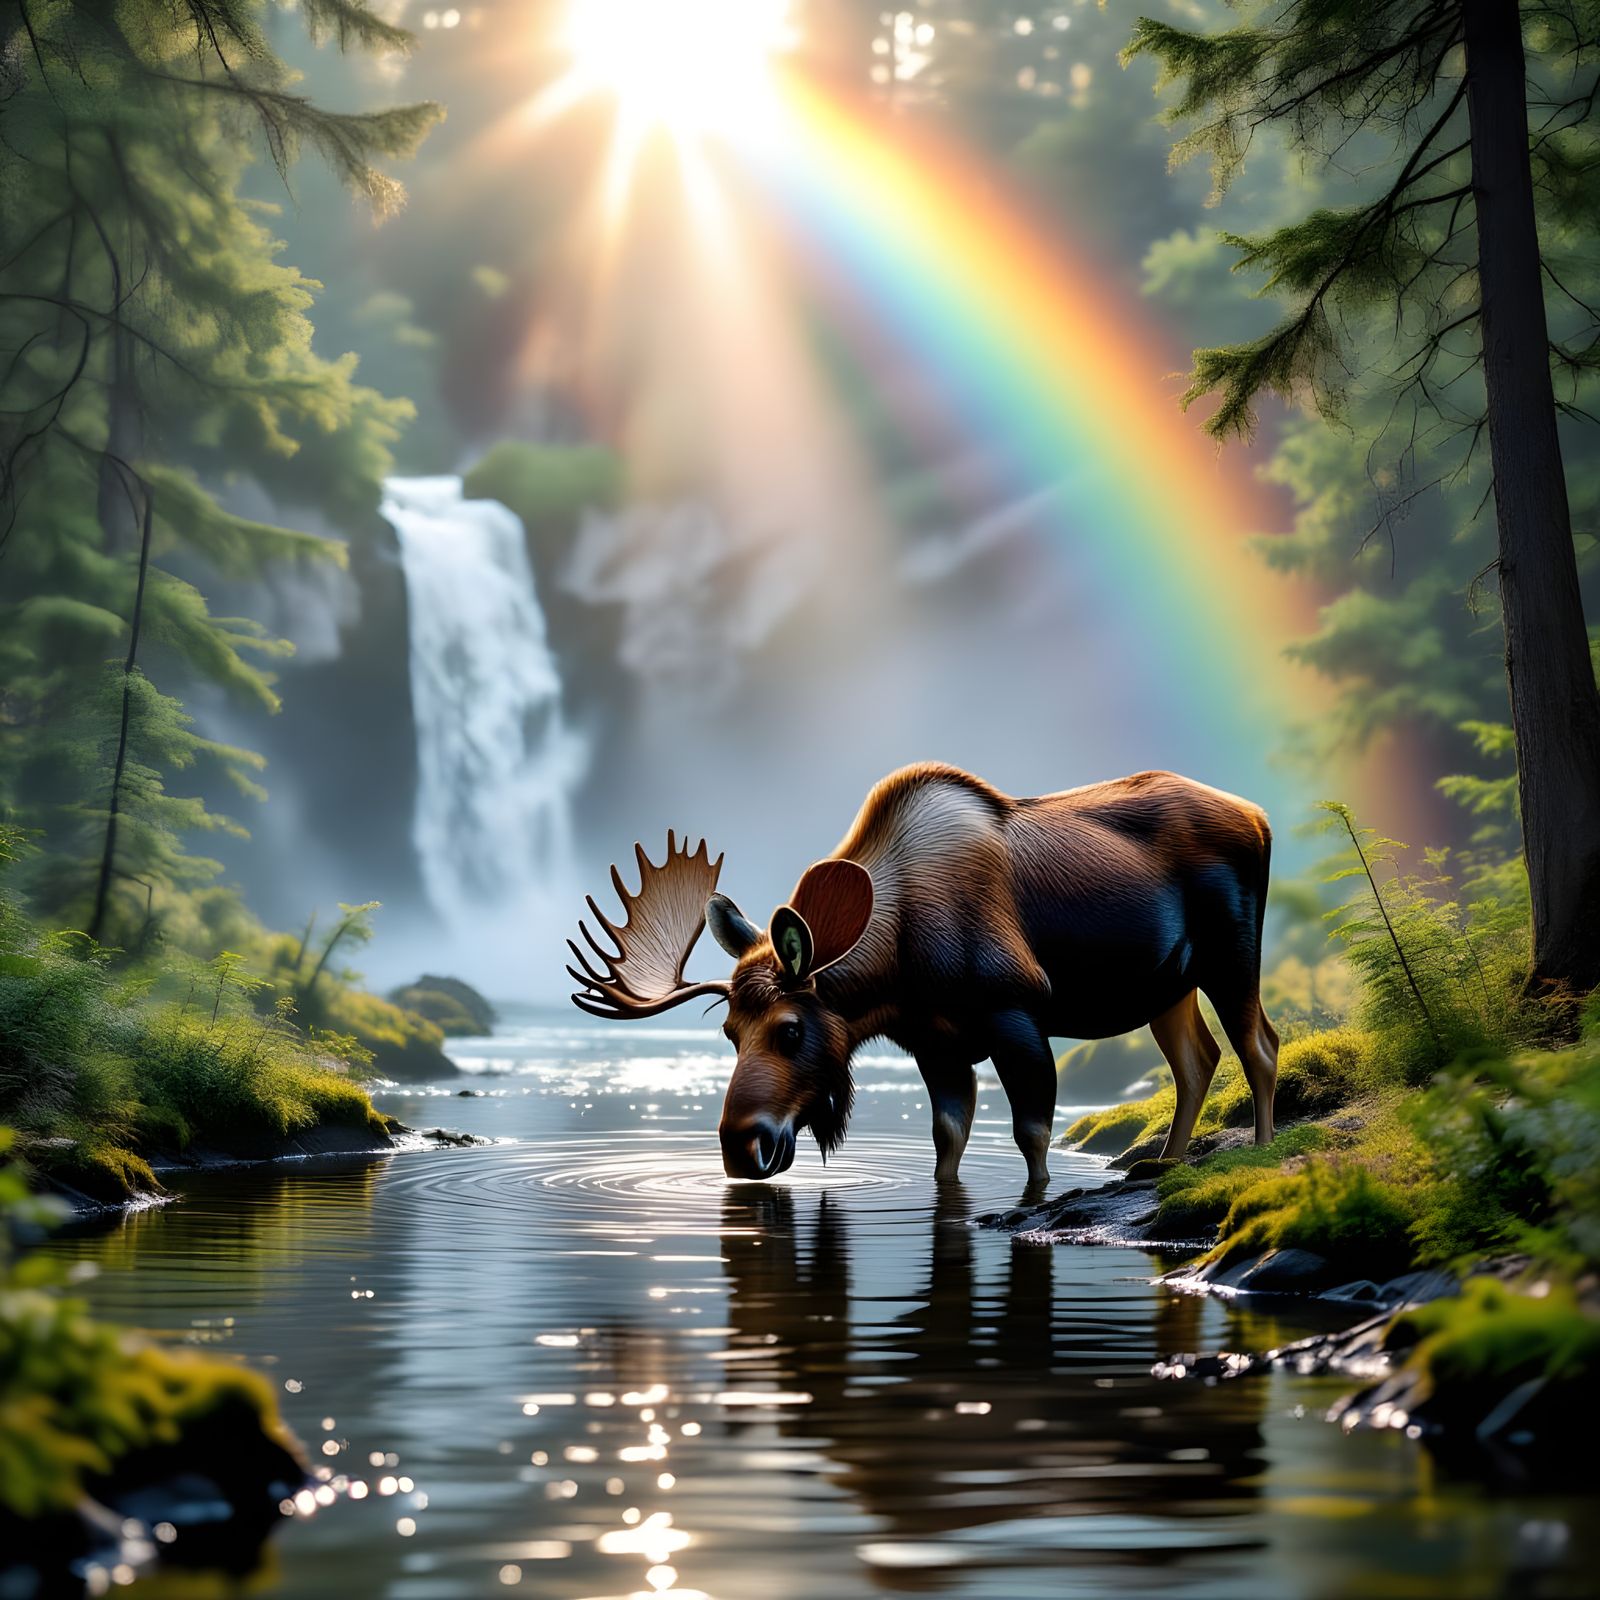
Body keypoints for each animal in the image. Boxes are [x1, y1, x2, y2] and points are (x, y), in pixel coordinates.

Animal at [569, 763, 1279, 1189]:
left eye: (791, 1030)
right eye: (730, 1035)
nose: (741, 1150)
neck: (897, 970)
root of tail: (1260, 816)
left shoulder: (1016, 1012)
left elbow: (1033, 1134)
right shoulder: (935, 1043)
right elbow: (947, 1140)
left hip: (1233, 954)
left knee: (1258, 1044)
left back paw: (1263, 1150)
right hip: (1169, 985)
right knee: (1197, 1060)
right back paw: (1164, 1165)